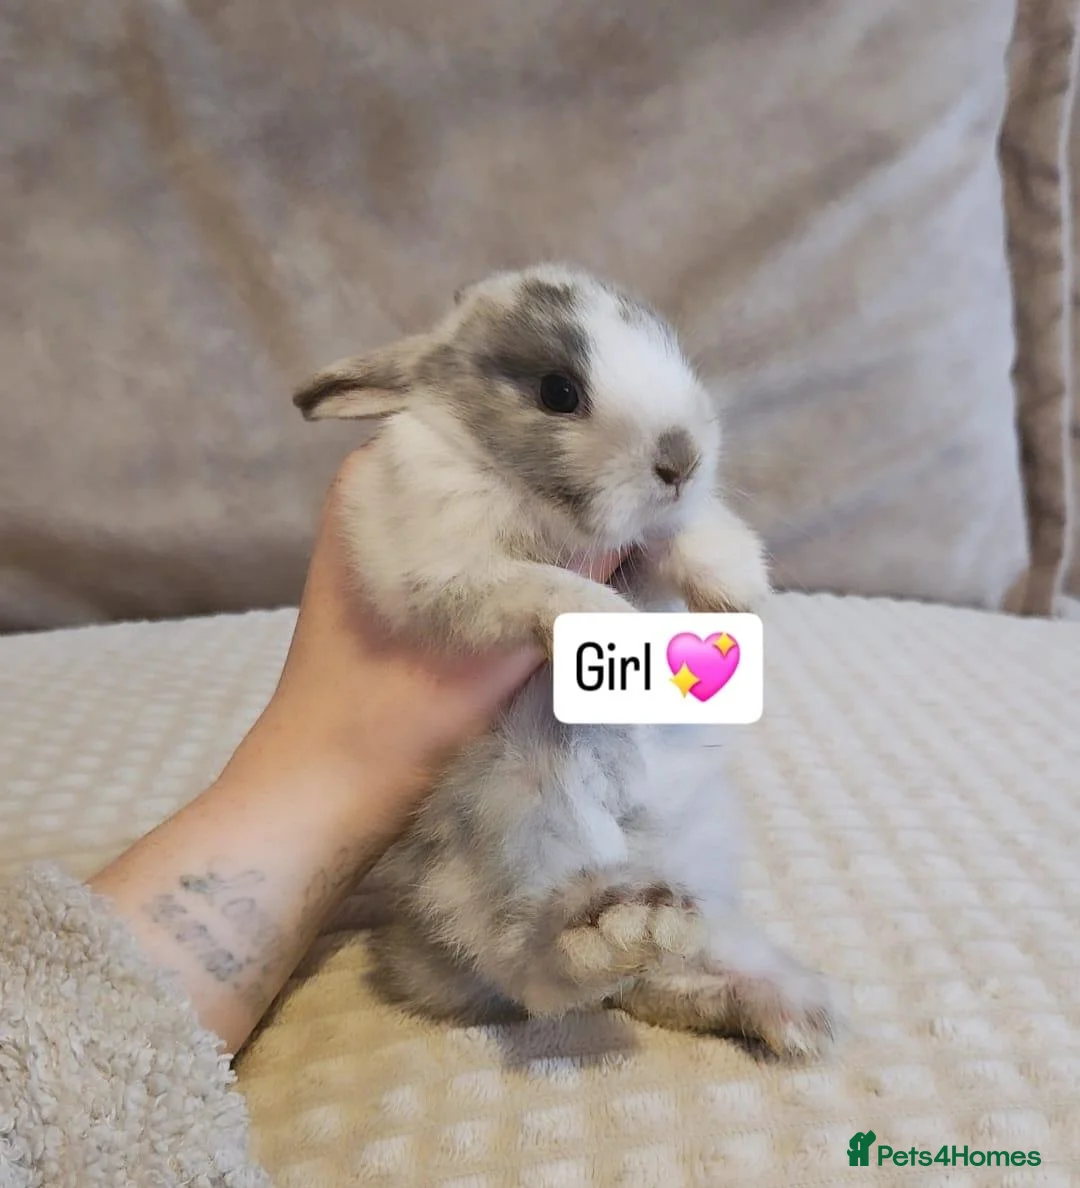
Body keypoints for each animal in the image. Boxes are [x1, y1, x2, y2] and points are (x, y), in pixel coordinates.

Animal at [292, 263, 840, 1060]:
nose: (682, 459)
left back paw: (788, 1008)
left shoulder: (651, 543)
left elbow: (680, 533)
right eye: (558, 392)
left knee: (665, 972)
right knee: (536, 969)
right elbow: (538, 586)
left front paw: (737, 585)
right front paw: (614, 627)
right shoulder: (442, 567)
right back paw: (609, 926)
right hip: (514, 817)